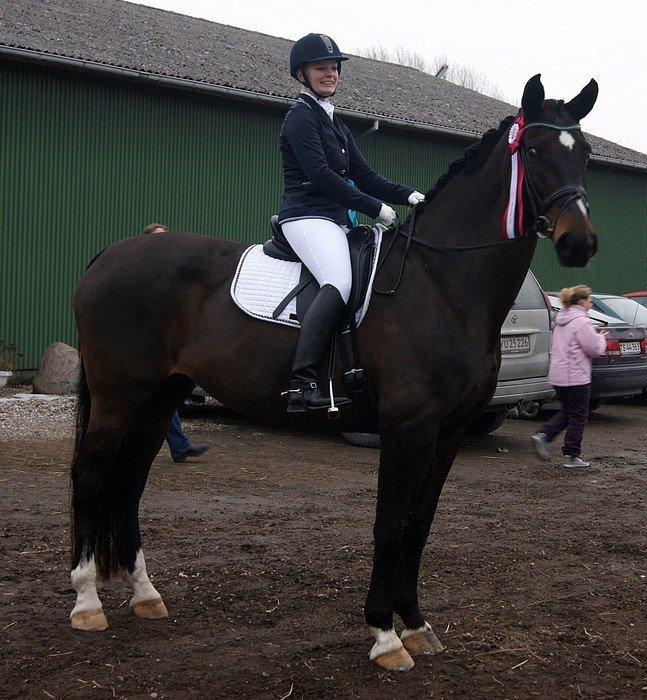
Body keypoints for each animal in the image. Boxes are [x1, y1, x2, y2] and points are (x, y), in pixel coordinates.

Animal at [69, 76, 596, 672]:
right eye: (535, 151)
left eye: (586, 153)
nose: (579, 243)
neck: (441, 283)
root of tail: (112, 254)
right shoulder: (408, 428)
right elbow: (391, 525)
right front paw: (385, 635)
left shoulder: (450, 432)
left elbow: (419, 524)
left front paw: (416, 623)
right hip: (118, 397)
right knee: (91, 476)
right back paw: (87, 603)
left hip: (160, 399)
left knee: (130, 480)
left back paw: (145, 595)